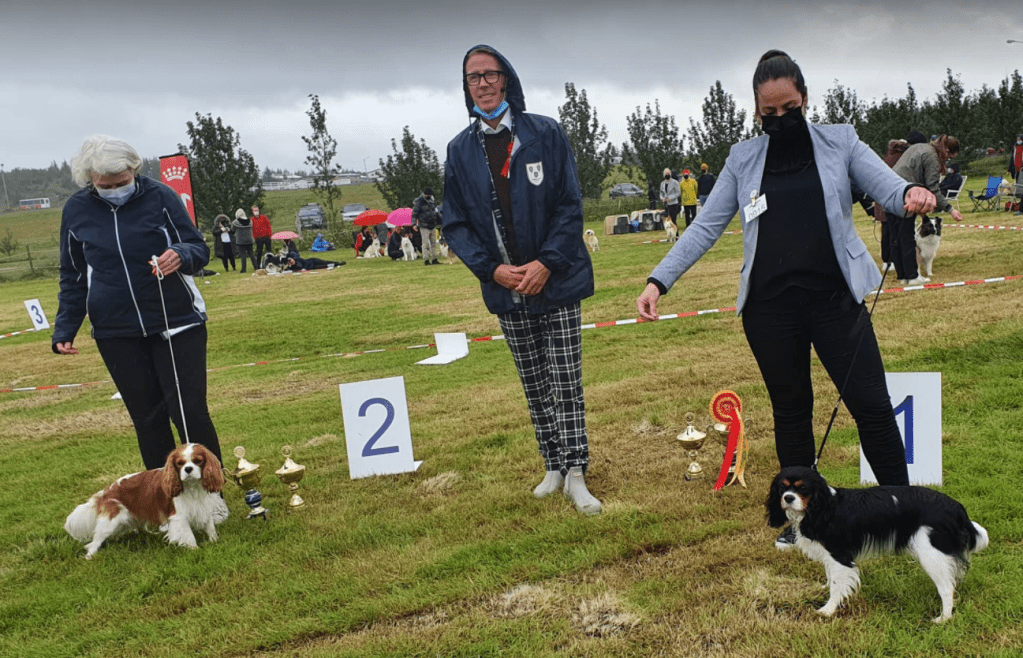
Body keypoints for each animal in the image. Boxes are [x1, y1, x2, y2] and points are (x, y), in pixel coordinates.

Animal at [65, 444, 227, 559]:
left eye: (198, 461)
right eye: (179, 463)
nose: (188, 469)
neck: (193, 487)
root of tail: (106, 491)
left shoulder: (203, 507)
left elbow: (210, 527)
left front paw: (214, 541)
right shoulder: (179, 517)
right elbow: (189, 536)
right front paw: (196, 551)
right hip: (110, 522)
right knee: (94, 541)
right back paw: (89, 557)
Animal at [766, 466, 987, 622]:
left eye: (802, 488)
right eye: (782, 487)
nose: (788, 498)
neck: (823, 507)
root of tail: (956, 507)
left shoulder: (839, 555)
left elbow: (838, 585)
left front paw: (827, 610)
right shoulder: (830, 555)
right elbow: (831, 576)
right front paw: (825, 588)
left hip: (932, 554)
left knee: (947, 588)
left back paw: (943, 618)